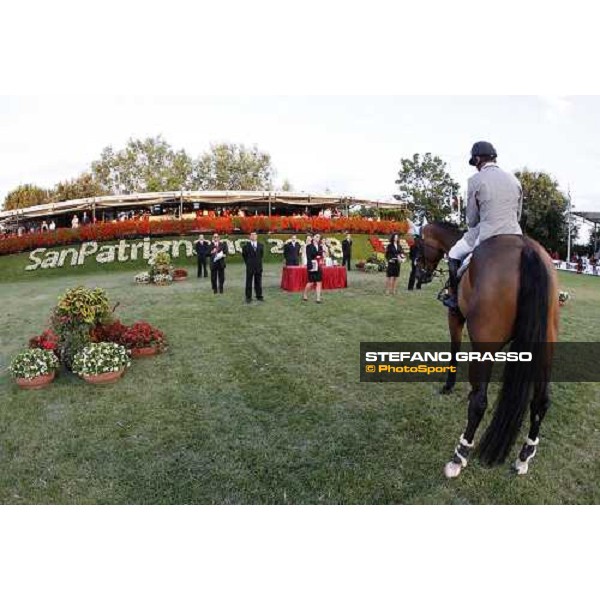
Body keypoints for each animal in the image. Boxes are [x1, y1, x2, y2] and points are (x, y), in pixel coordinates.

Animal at [418, 223, 556, 480]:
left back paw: (459, 456)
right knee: (541, 401)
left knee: (480, 403)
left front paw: (448, 385)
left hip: (485, 344)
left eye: (419, 245)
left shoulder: (455, 316)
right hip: (546, 346)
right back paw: (524, 457)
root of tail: (526, 249)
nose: (421, 275)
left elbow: (454, 350)